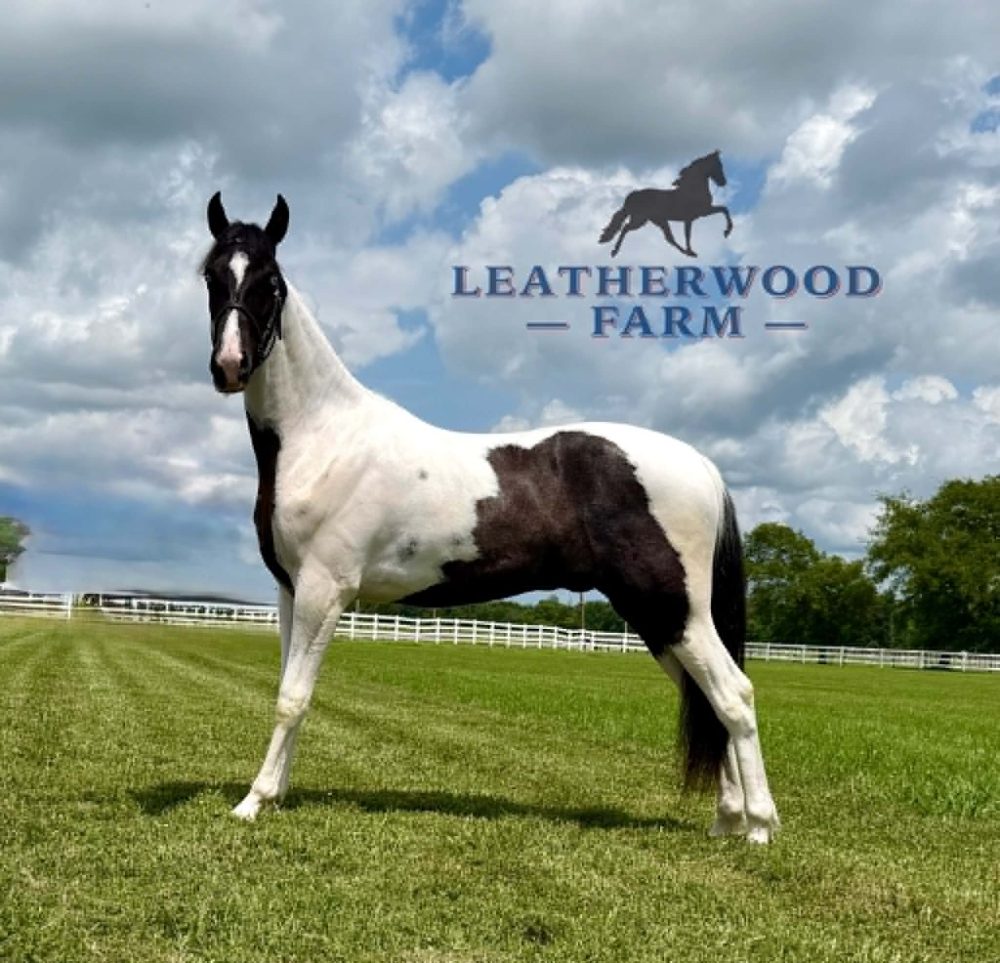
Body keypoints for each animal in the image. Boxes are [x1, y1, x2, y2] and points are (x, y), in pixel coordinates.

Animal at [202, 193, 779, 842]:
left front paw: (253, 801)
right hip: (658, 618)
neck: (324, 436)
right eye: (212, 275)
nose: (230, 365)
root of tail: (702, 465)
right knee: (708, 699)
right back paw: (727, 819)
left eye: (271, 283)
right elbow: (286, 688)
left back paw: (759, 827)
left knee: (733, 695)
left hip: (674, 609)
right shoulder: (290, 589)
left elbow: (293, 696)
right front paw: (274, 794)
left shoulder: (326, 590)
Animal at [598, 150, 734, 258]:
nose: (723, 182)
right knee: (626, 228)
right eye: (718, 165)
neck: (693, 189)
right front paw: (727, 231)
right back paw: (614, 251)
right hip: (640, 220)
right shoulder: (701, 213)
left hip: (658, 220)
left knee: (669, 239)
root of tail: (633, 196)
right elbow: (723, 210)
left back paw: (687, 253)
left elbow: (723, 210)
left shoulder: (694, 217)